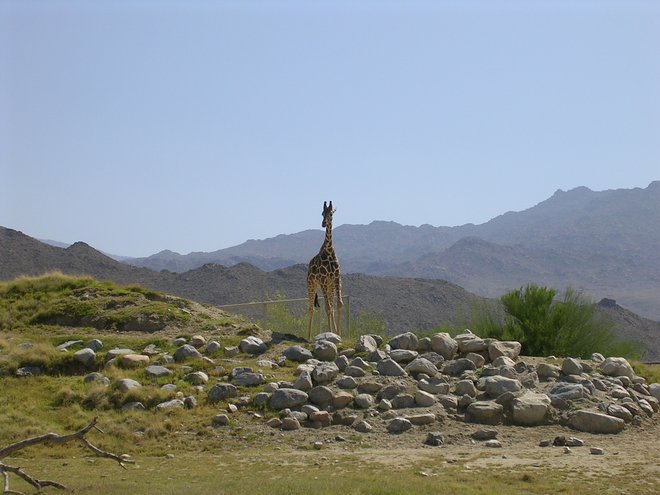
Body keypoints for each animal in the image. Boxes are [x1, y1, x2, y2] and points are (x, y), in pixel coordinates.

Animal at [306, 201, 342, 340]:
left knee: (331, 307)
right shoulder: (322, 279)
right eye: (322, 213)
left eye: (331, 213)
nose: (323, 223)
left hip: (329, 286)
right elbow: (327, 307)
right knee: (311, 308)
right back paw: (309, 337)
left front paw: (338, 334)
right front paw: (330, 333)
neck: (329, 250)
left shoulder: (336, 278)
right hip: (311, 285)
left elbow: (338, 305)